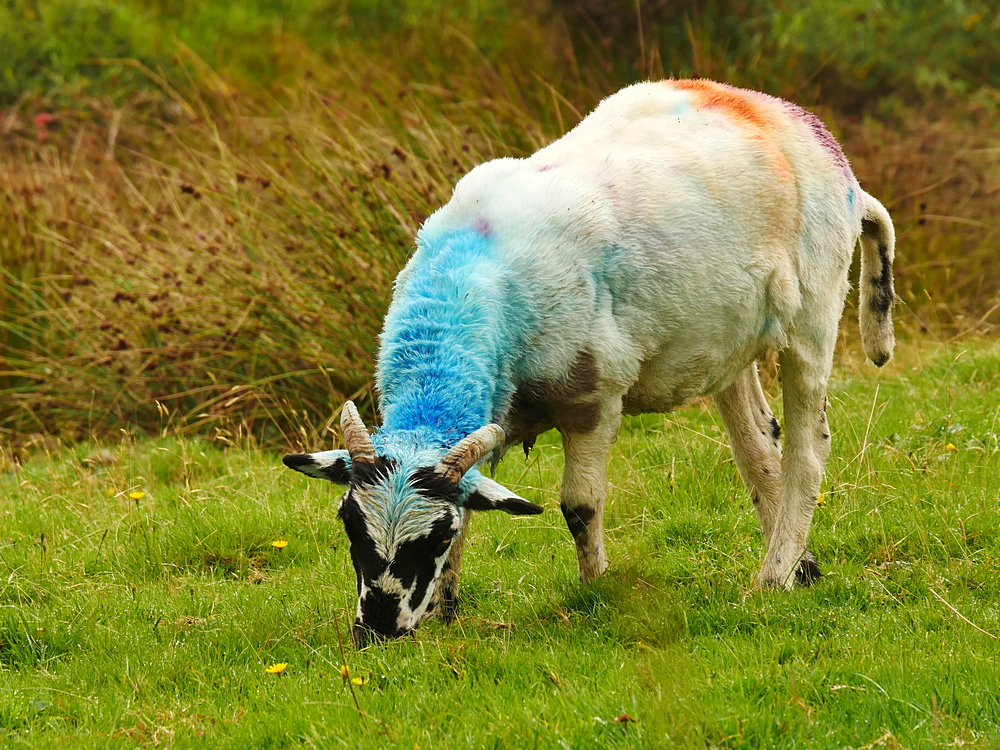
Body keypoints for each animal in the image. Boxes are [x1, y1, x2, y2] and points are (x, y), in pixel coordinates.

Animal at [284, 81, 900, 648]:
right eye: (348, 524)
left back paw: (771, 579)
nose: (378, 631)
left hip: (813, 318)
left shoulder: (593, 398)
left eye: (431, 537)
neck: (466, 287)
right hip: (730, 341)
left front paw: (598, 589)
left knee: (806, 453)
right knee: (759, 450)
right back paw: (799, 569)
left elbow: (579, 506)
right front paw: (441, 614)